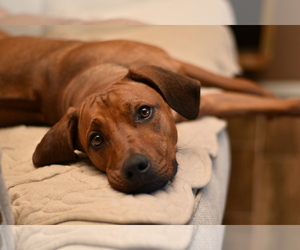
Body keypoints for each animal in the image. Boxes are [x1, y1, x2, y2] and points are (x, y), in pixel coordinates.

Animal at [0, 31, 300, 193]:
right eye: (96, 139)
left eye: (144, 112)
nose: (135, 167)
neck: (99, 77)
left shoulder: (180, 67)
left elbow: (249, 87)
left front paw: (276, 101)